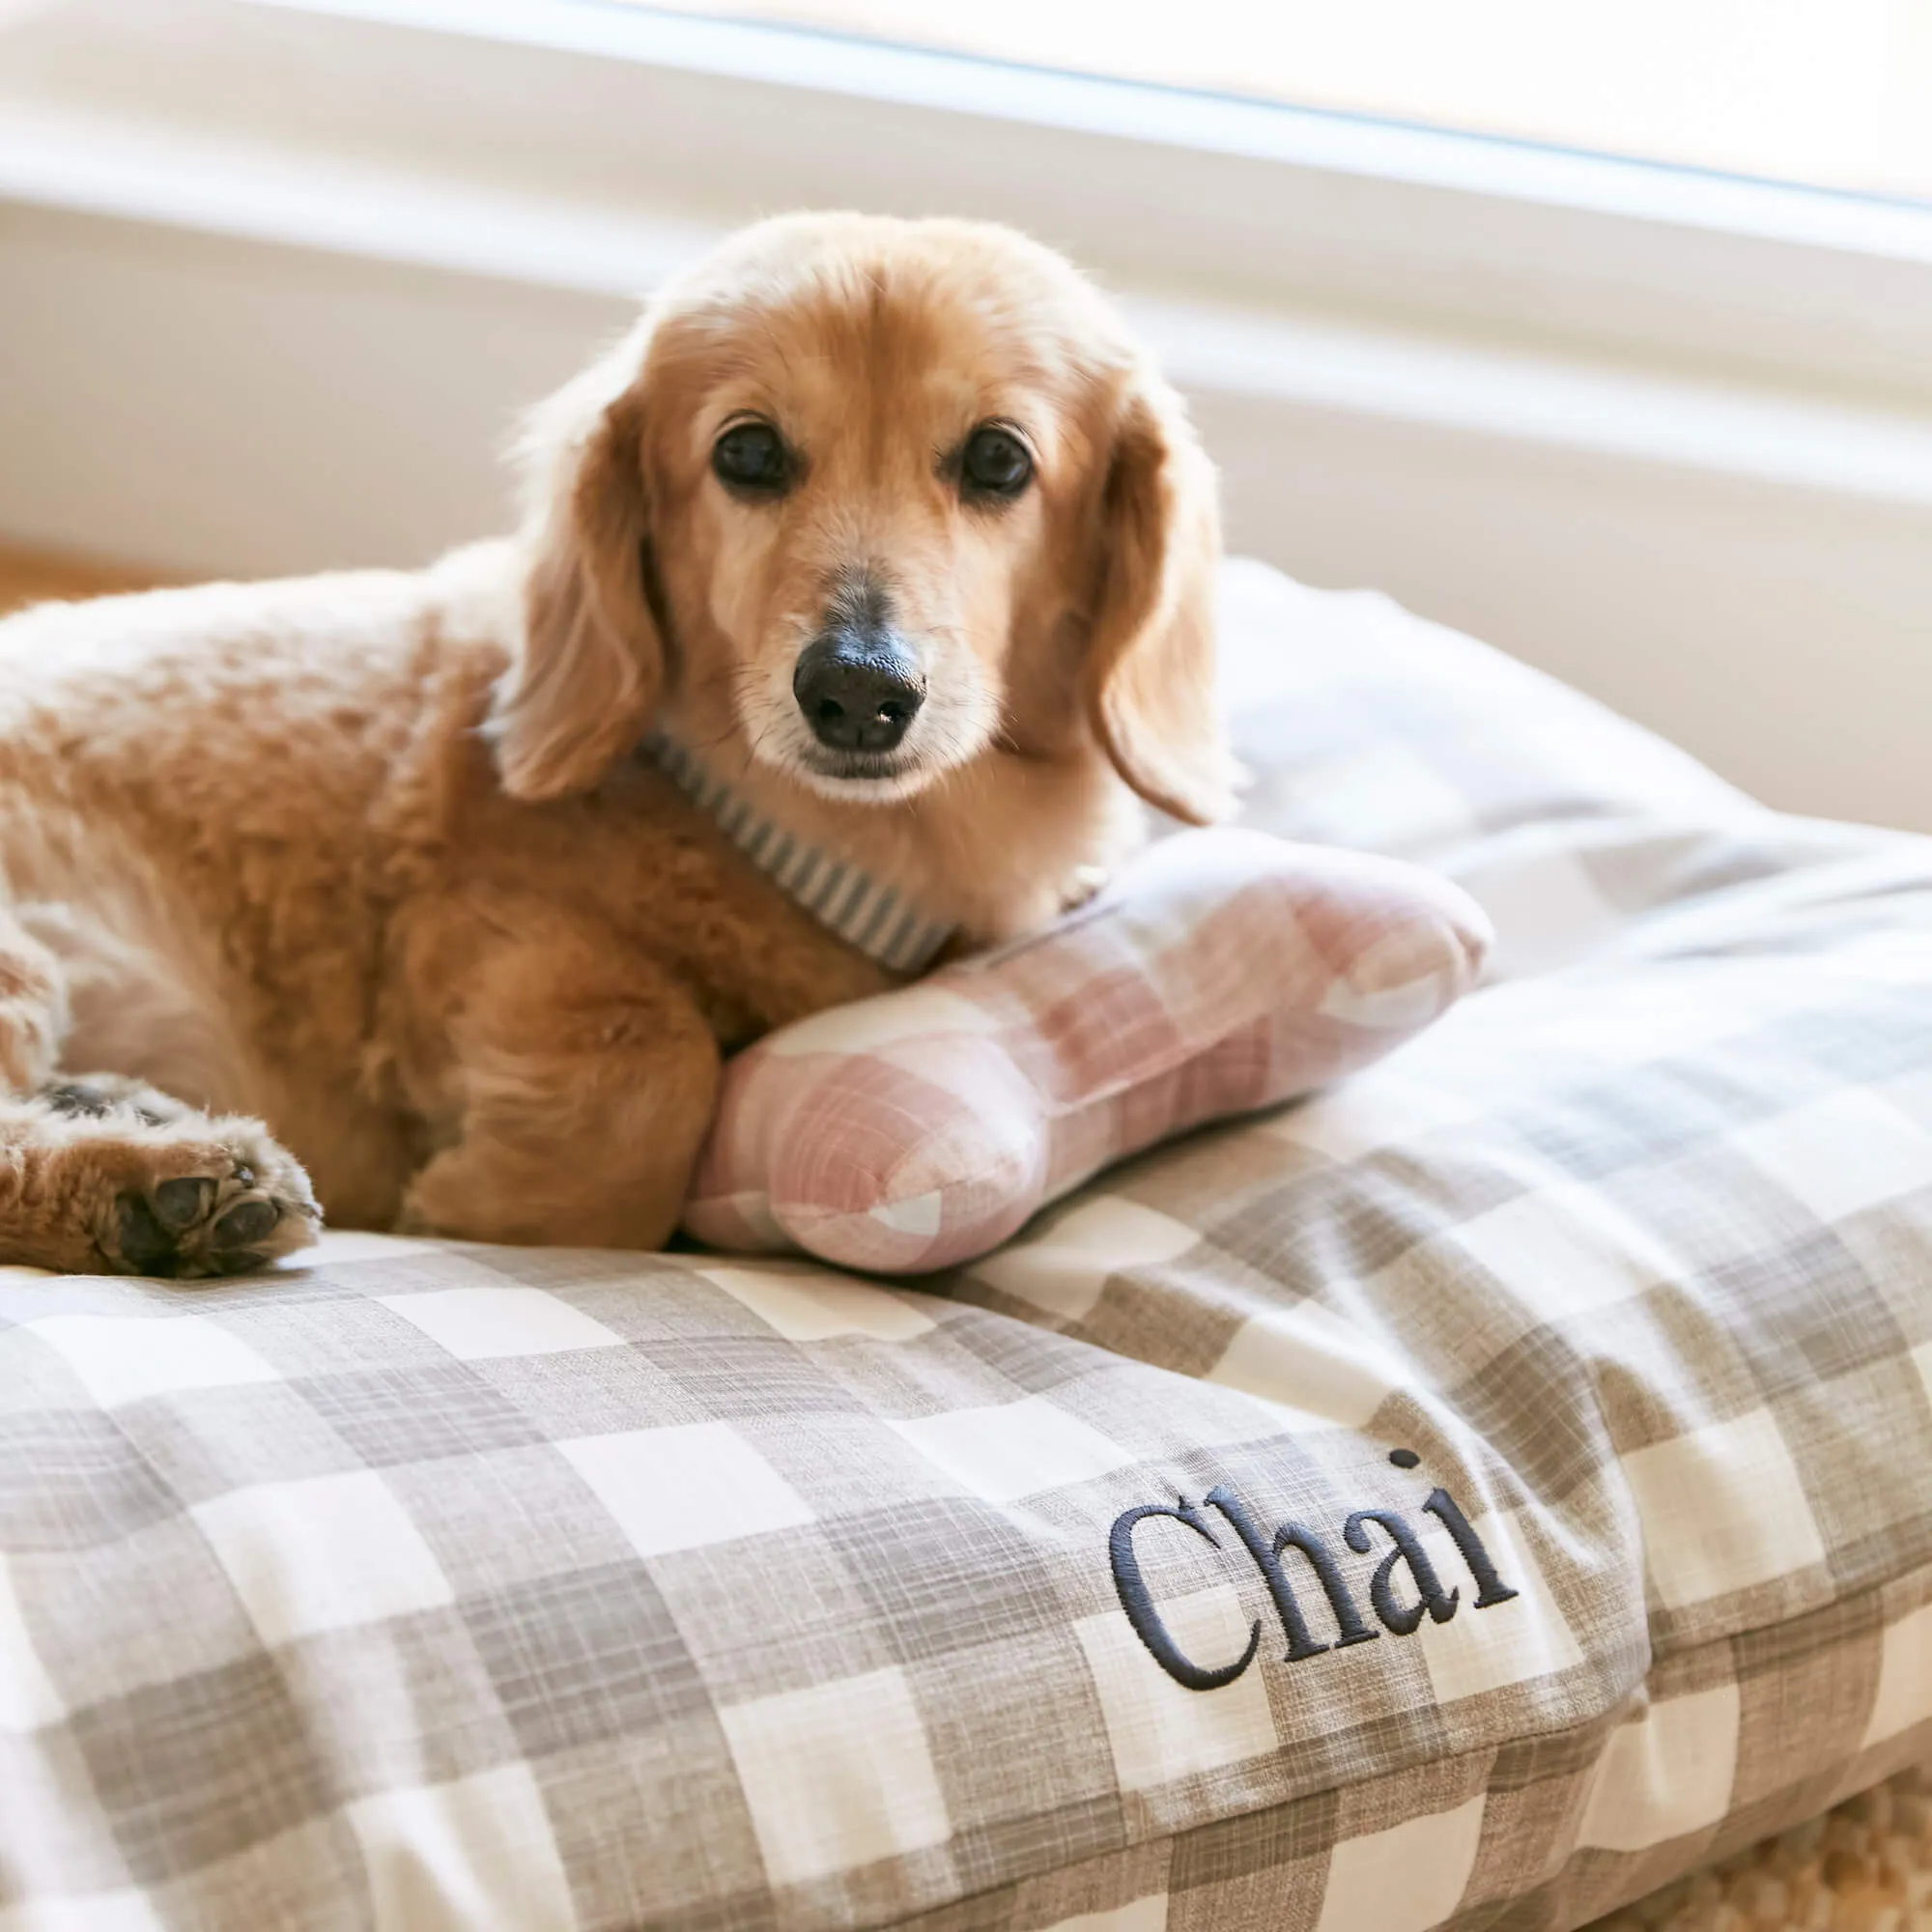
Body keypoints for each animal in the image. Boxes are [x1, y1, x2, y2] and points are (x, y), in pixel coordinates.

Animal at [0, 212, 1236, 1275]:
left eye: (997, 461)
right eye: (747, 454)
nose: (856, 692)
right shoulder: (478, 926)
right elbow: (654, 1056)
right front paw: (487, 1200)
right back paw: (164, 1190)